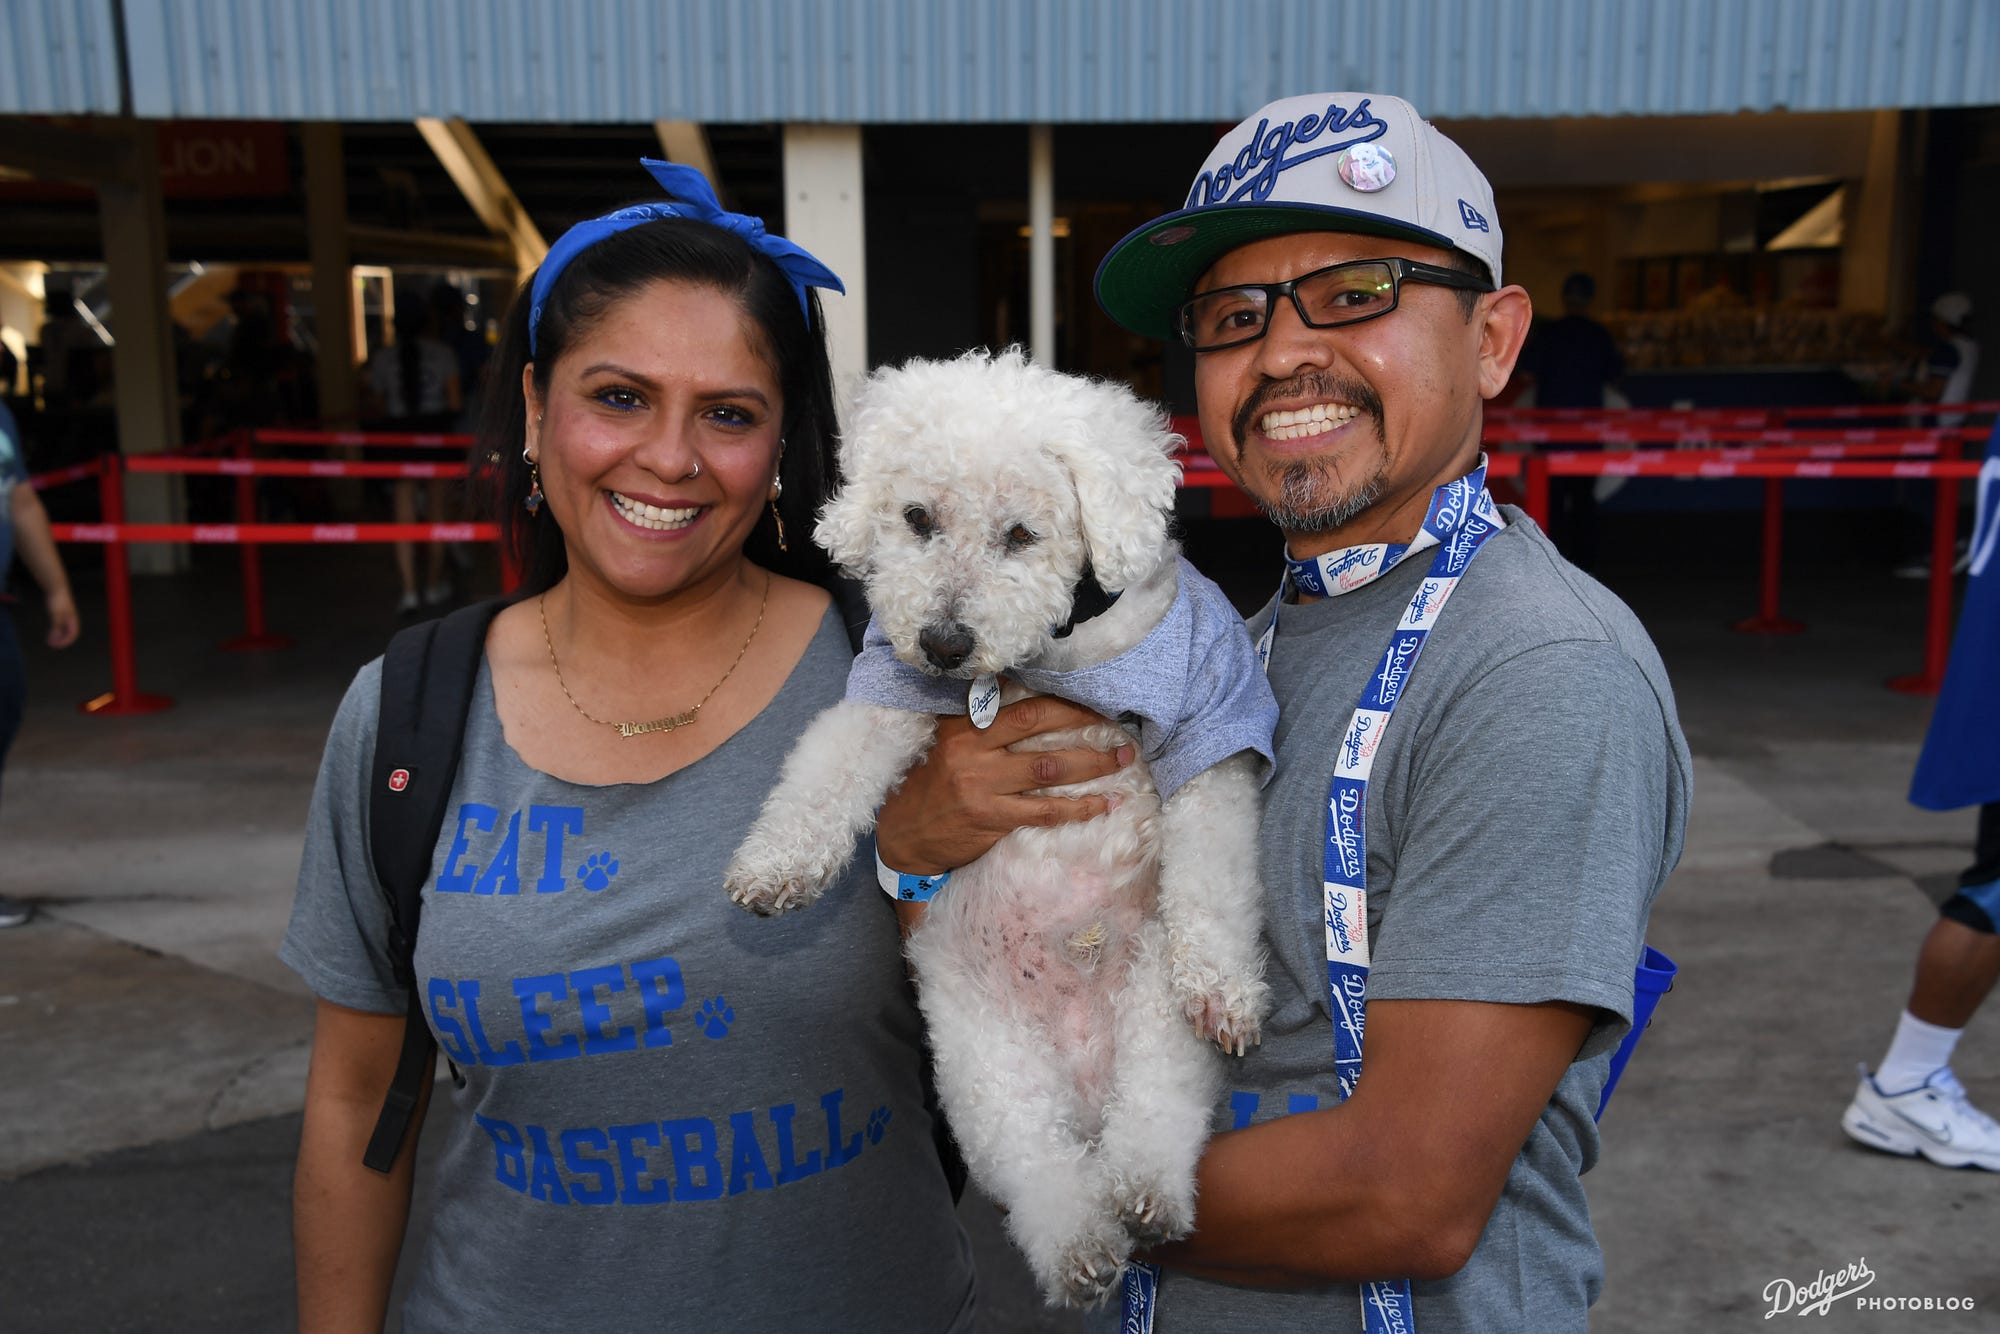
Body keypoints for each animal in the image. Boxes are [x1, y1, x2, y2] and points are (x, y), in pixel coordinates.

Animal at [728, 350, 1272, 1312]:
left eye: (1021, 534)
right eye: (917, 519)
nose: (944, 642)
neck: (1047, 657)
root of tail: (1085, 1085)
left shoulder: (1210, 720)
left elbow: (1212, 878)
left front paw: (1226, 989)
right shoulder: (890, 689)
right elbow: (828, 770)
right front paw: (778, 864)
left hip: (1150, 1015)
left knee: (1157, 1115)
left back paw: (1147, 1191)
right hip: (985, 1069)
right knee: (1039, 1170)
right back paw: (1082, 1247)